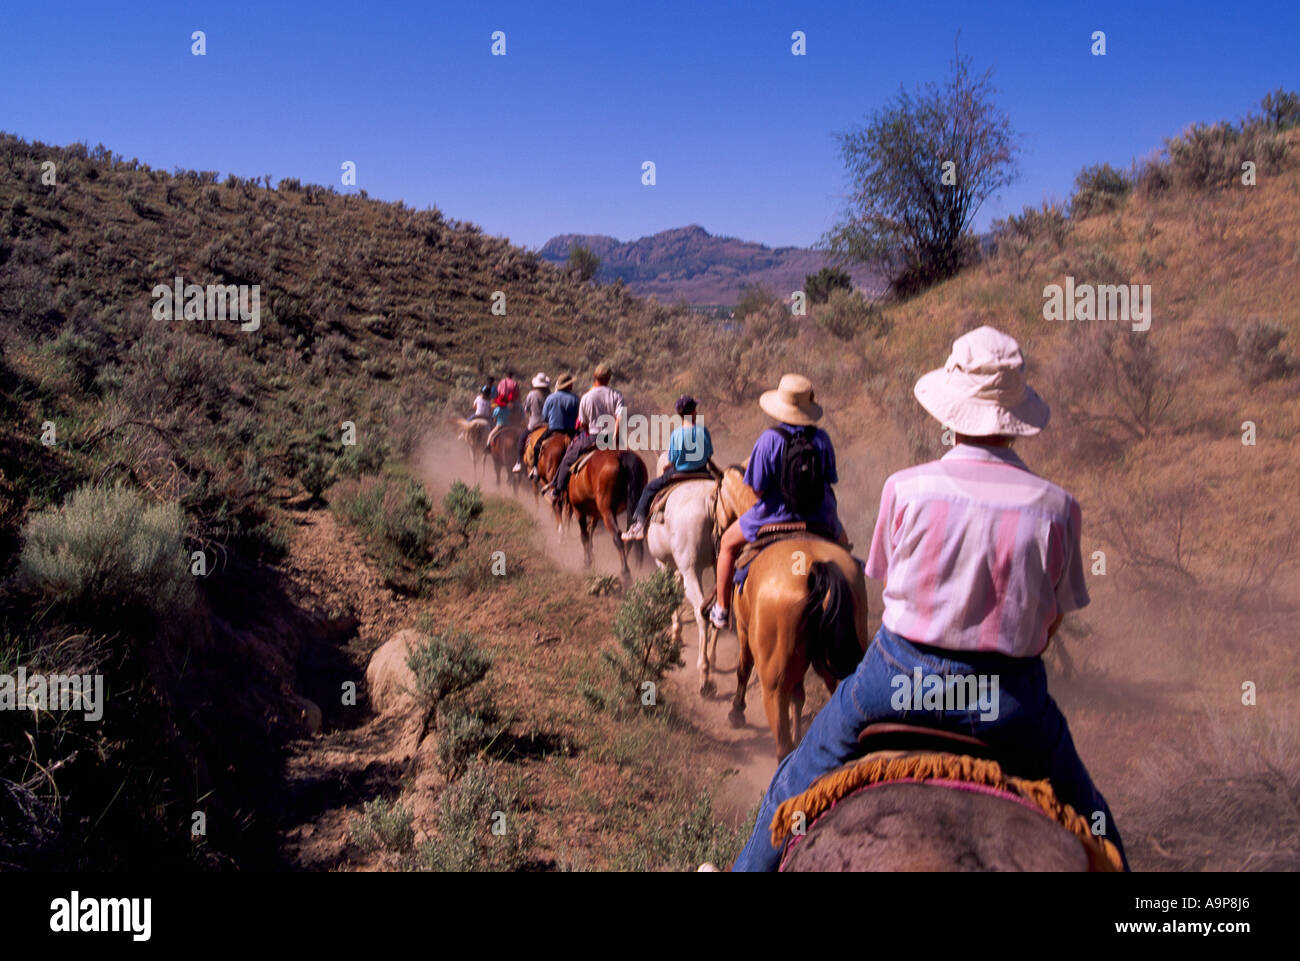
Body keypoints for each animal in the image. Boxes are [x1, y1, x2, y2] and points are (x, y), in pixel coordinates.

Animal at [647, 455, 728, 697]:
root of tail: (710, 501)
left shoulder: (664, 563)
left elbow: (670, 591)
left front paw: (676, 633)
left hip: (692, 569)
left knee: (702, 612)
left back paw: (705, 675)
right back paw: (712, 658)